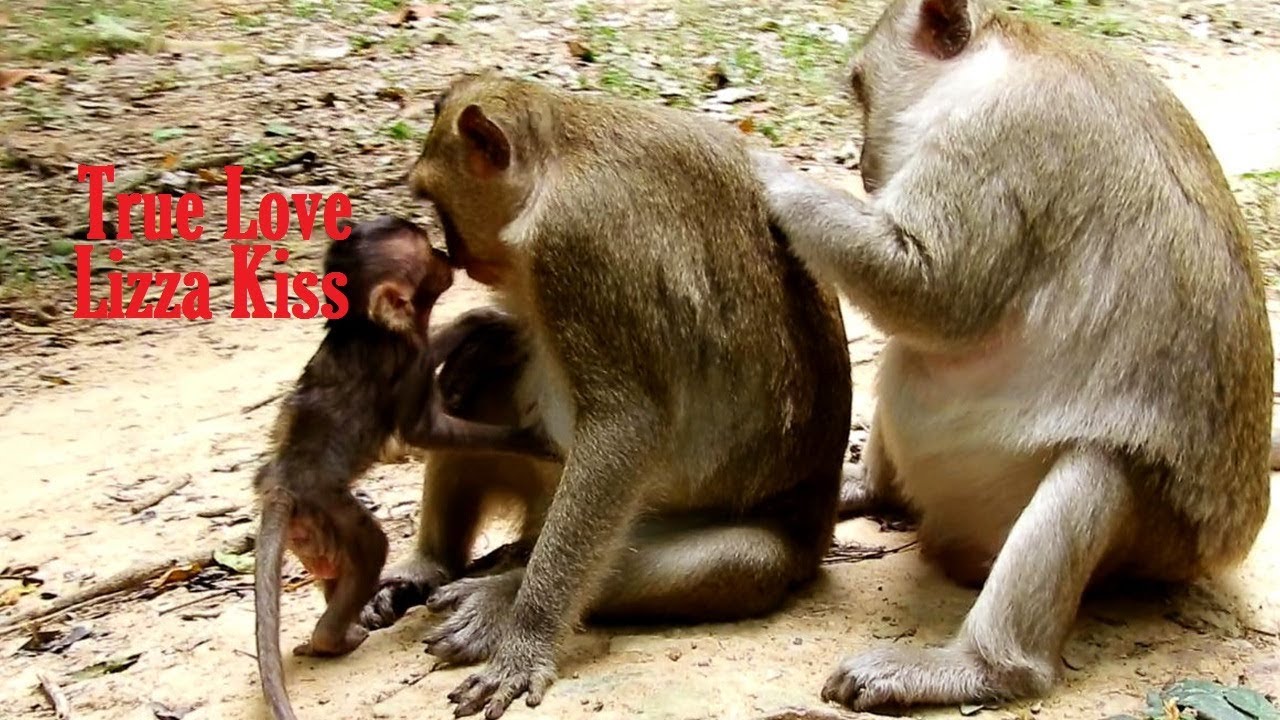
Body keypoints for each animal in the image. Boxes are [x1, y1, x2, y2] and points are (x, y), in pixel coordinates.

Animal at [252, 216, 558, 720]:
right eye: (428, 254)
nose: (446, 254)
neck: (361, 326)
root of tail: (279, 485)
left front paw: (481, 324)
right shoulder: (406, 356)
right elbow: (423, 429)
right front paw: (527, 435)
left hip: (312, 530)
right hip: (325, 508)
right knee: (371, 546)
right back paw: (338, 633)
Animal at [392, 70, 852, 718]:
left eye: (436, 200)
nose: (452, 254)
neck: (560, 151)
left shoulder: (576, 245)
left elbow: (624, 431)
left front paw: (525, 638)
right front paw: (483, 336)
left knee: (743, 560)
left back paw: (500, 596)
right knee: (483, 396)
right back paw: (433, 562)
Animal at [752, 0, 1274, 711]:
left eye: (860, 89)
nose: (859, 164)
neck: (1003, 56)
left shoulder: (997, 139)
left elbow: (929, 289)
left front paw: (769, 175)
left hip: (1152, 540)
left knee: (1097, 472)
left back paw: (982, 668)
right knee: (908, 365)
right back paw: (873, 489)